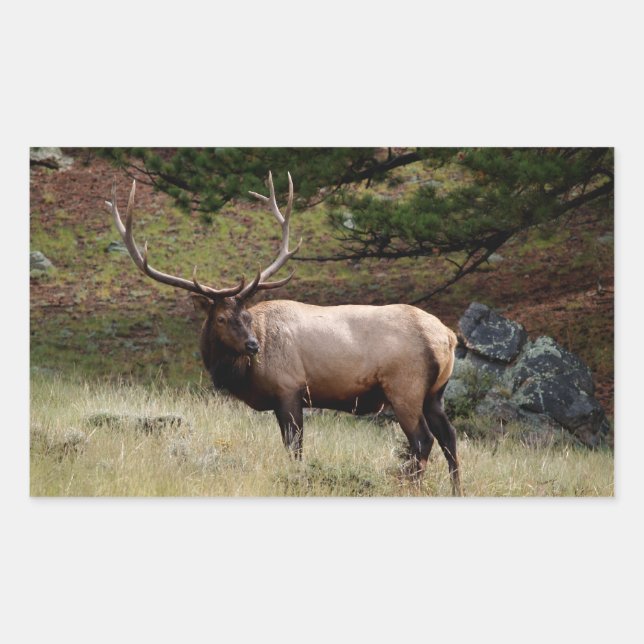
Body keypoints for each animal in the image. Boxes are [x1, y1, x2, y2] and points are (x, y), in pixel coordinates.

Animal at [106, 172, 462, 495]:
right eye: (221, 318)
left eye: (246, 315)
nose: (253, 345)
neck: (242, 375)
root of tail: (448, 336)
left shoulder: (289, 389)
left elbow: (295, 449)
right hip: (435, 393)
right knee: (450, 437)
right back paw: (456, 489)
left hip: (405, 387)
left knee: (423, 440)